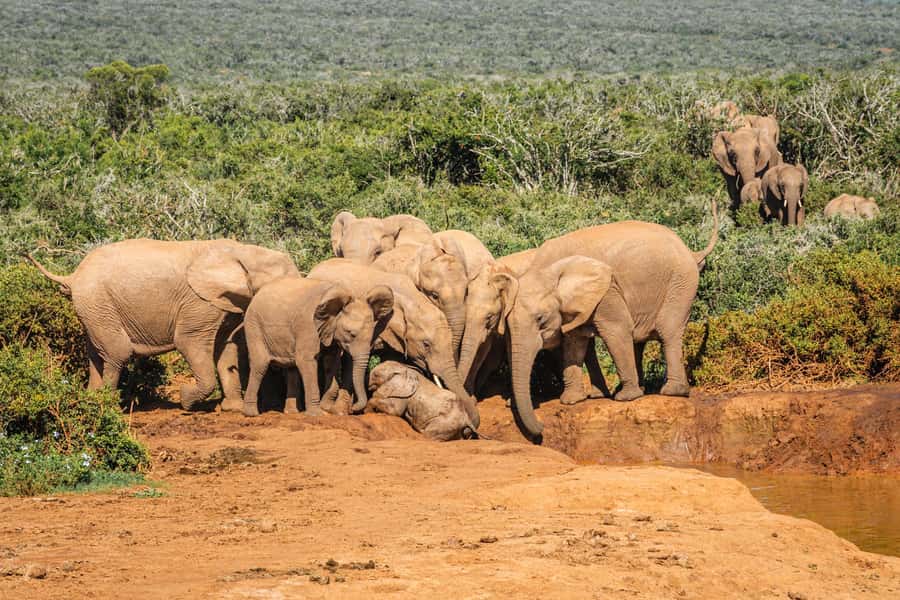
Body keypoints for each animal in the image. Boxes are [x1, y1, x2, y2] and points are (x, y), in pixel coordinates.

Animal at [27, 239, 299, 410]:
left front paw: (232, 409)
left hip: (94, 309)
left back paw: (91, 403)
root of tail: (72, 276)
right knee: (117, 352)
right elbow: (189, 341)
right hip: (97, 302)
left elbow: (227, 347)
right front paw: (186, 401)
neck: (244, 252)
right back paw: (108, 407)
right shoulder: (199, 303)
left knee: (95, 354)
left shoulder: (227, 304)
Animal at [240, 276, 394, 417]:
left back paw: (291, 413)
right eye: (351, 334)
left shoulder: (330, 331)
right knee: (260, 364)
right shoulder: (308, 326)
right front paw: (317, 414)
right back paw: (251, 414)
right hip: (254, 325)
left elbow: (331, 363)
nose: (353, 408)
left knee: (291, 368)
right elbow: (306, 361)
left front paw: (326, 408)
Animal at [506, 204, 719, 437]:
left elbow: (617, 331)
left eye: (540, 319)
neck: (548, 269)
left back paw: (671, 391)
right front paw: (571, 401)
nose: (542, 427)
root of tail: (691, 251)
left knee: (667, 331)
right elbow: (574, 341)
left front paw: (626, 398)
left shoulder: (608, 291)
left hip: (681, 284)